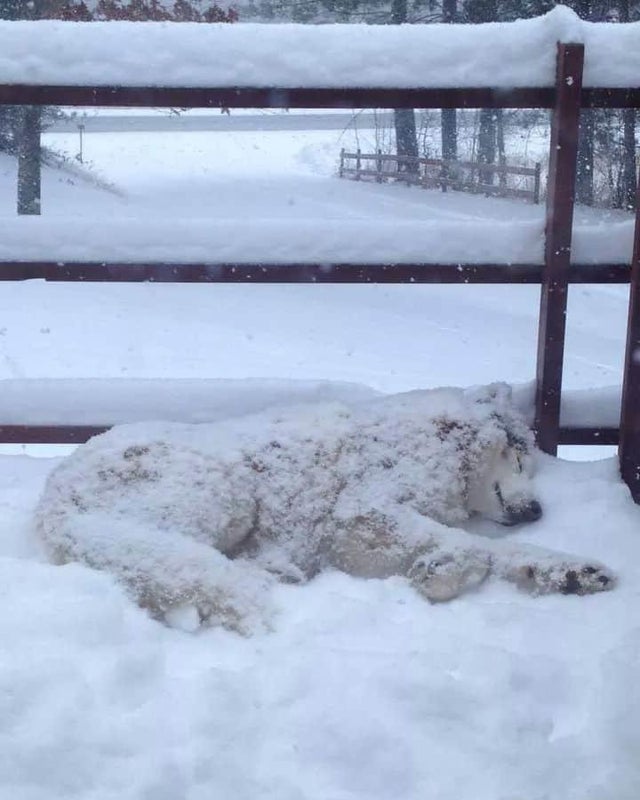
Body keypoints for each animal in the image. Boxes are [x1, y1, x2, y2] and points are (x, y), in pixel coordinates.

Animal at [35, 384, 616, 636]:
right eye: (519, 457)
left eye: (532, 464)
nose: (538, 509)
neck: (440, 445)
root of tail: (54, 499)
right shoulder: (359, 516)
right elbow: (471, 547)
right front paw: (441, 573)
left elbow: (502, 550)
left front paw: (569, 572)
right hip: (222, 488)